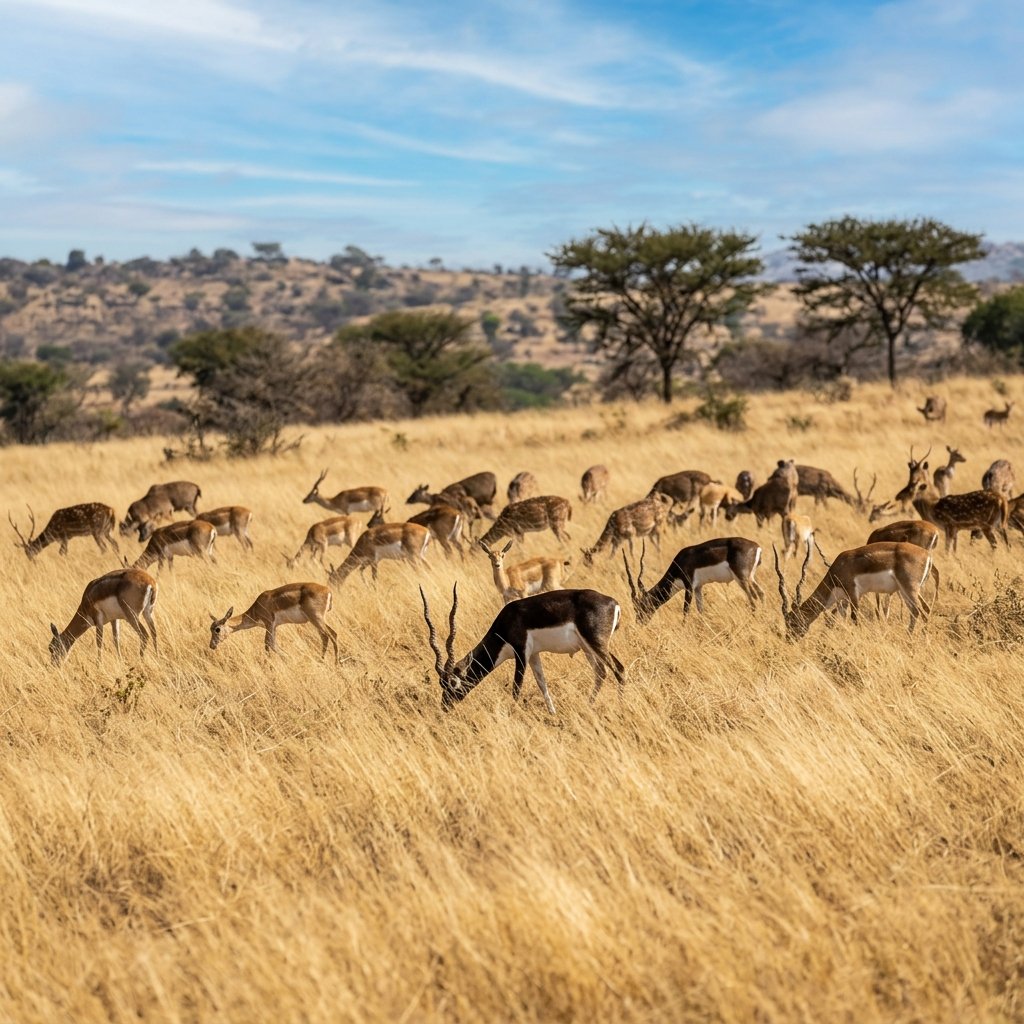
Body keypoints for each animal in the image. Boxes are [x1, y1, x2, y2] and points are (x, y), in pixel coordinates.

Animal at [209, 583, 338, 660]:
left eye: (217, 629)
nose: (211, 645)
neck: (257, 608)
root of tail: (328, 591)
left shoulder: (269, 624)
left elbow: (269, 643)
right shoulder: (274, 626)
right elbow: (272, 644)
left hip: (316, 619)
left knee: (330, 635)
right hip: (318, 621)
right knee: (329, 635)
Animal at [420, 583, 625, 715]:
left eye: (453, 683)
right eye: (441, 684)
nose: (445, 706)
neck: (507, 621)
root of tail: (613, 603)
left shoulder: (521, 653)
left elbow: (516, 689)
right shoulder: (534, 655)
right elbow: (542, 684)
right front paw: (553, 714)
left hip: (596, 644)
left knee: (619, 669)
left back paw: (620, 708)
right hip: (587, 648)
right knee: (601, 672)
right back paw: (588, 707)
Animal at [622, 537, 764, 622]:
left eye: (641, 606)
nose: (640, 622)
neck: (680, 562)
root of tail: (757, 547)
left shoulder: (689, 586)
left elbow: (685, 611)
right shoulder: (698, 588)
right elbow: (701, 610)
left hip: (742, 579)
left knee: (753, 600)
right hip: (750, 578)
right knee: (761, 593)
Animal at [773, 542, 937, 638]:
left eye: (792, 622)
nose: (789, 639)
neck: (838, 569)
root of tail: (927, 555)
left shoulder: (853, 594)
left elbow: (854, 618)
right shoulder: (844, 599)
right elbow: (840, 619)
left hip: (909, 589)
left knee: (920, 612)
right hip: (906, 592)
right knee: (924, 610)